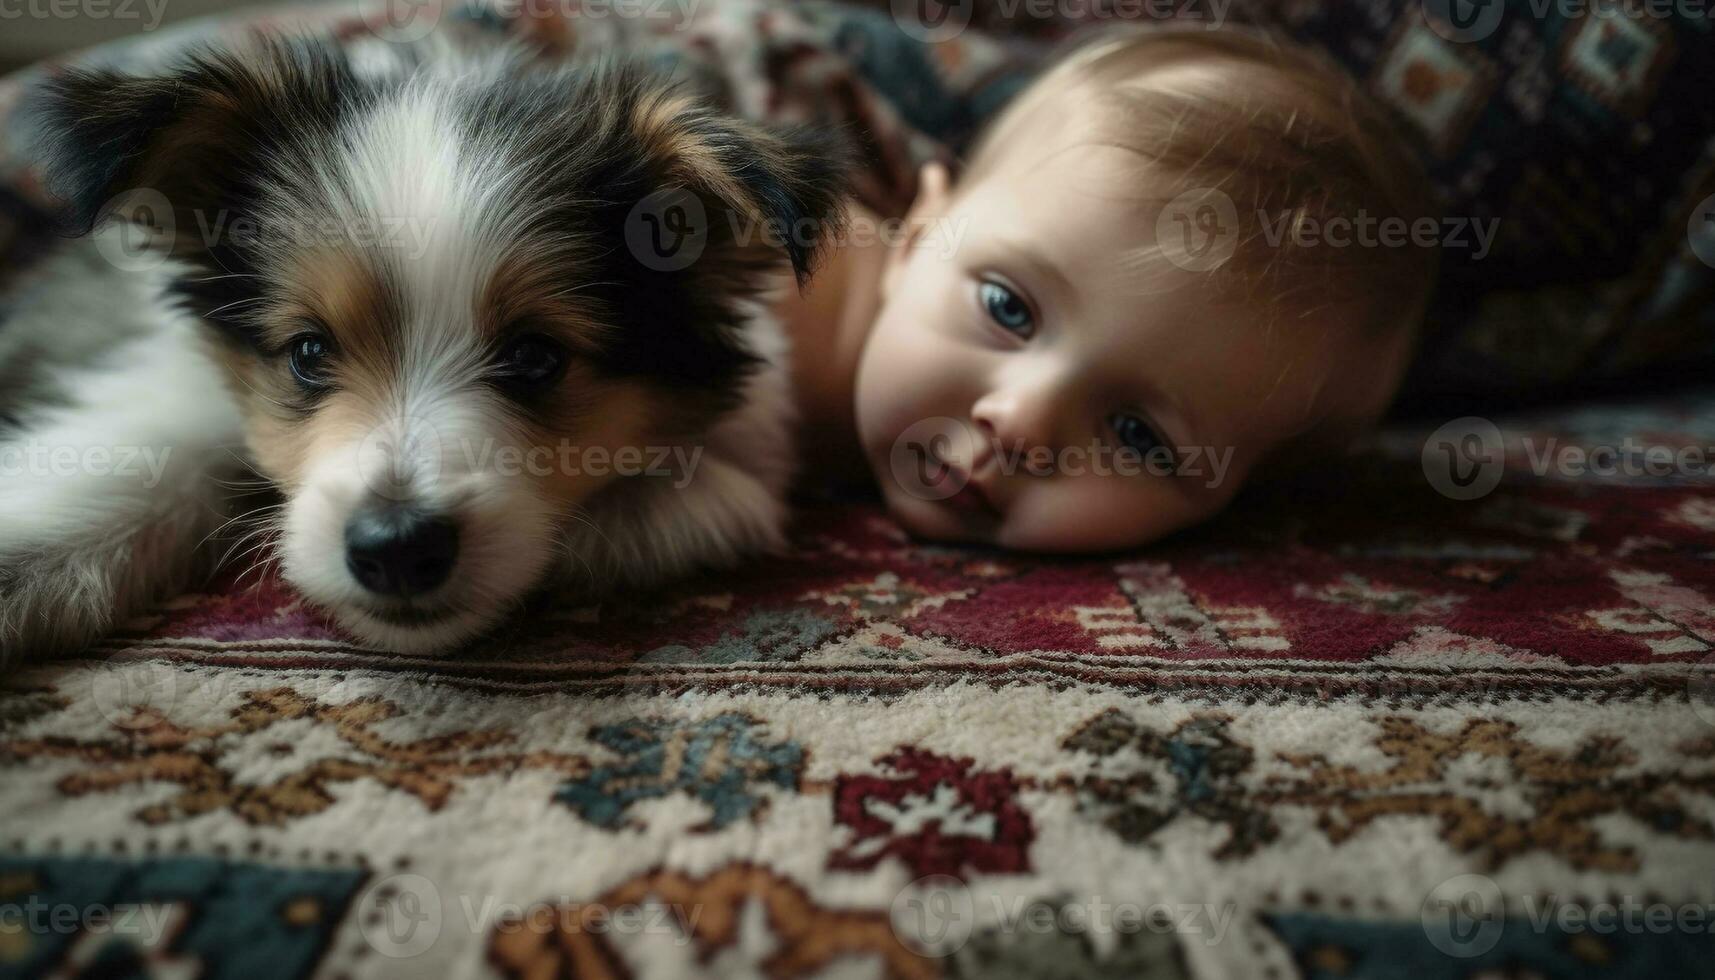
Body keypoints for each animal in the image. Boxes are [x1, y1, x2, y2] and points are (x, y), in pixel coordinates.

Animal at [0, 32, 847, 659]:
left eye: (536, 356)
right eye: (308, 352)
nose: (398, 549)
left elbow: (686, 501)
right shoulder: (170, 380)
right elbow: (134, 459)